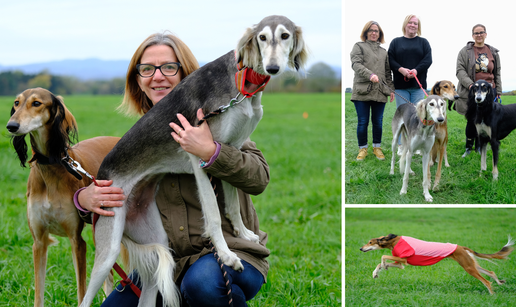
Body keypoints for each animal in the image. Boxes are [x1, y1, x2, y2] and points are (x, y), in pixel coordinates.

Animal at [5, 88, 120, 306]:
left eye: (37, 103)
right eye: (16, 103)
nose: (11, 126)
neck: (50, 166)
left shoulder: (77, 240)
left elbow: (82, 293)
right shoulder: (39, 241)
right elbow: (38, 295)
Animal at [78, 15, 308, 307]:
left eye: (285, 35)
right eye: (262, 37)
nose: (273, 67)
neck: (241, 80)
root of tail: (102, 175)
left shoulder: (228, 150)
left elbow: (232, 205)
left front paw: (244, 234)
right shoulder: (198, 156)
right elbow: (213, 213)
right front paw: (227, 255)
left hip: (154, 241)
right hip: (108, 249)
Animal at [360, 236, 512, 296]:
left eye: (370, 242)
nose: (361, 248)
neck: (393, 240)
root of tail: (461, 247)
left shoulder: (403, 258)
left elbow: (383, 257)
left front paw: (383, 266)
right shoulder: (401, 263)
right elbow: (384, 261)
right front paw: (377, 272)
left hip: (468, 267)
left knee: (486, 281)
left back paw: (492, 294)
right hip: (469, 264)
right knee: (491, 272)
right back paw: (499, 282)